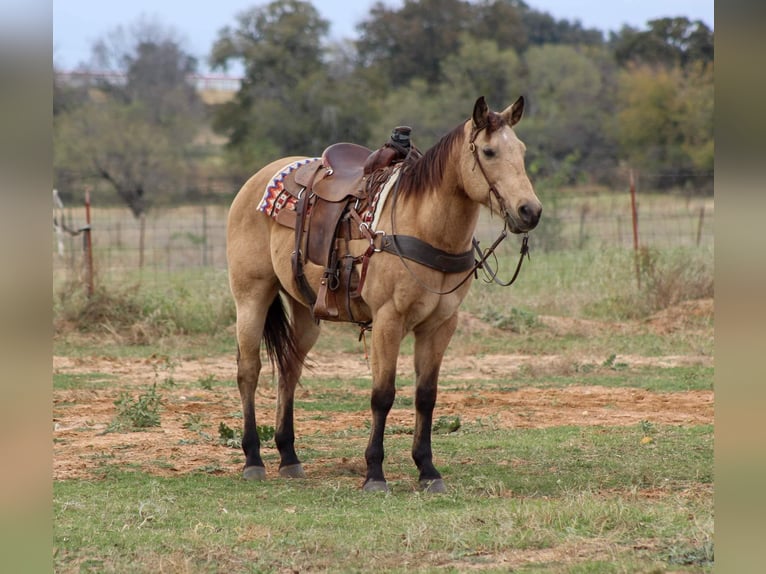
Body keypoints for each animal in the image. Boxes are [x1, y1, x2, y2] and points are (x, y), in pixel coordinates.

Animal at [226, 96, 542, 492]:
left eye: (522, 150)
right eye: (489, 151)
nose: (530, 211)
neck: (423, 224)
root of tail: (256, 181)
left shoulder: (440, 325)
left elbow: (426, 396)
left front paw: (428, 470)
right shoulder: (389, 320)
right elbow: (383, 395)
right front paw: (375, 473)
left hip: (305, 310)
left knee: (289, 370)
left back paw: (289, 457)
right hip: (251, 296)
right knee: (248, 371)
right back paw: (253, 458)